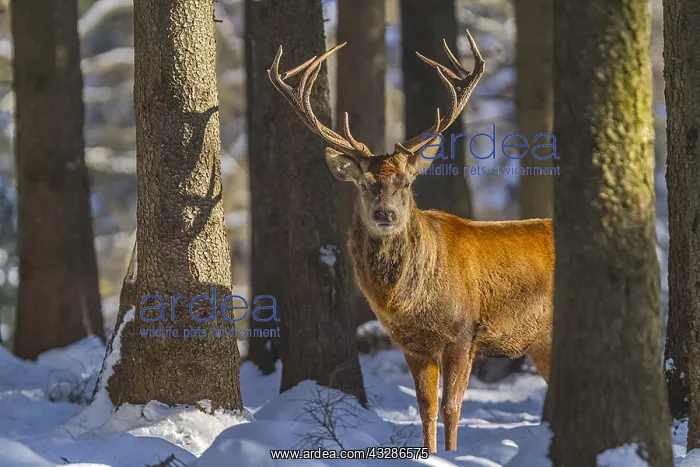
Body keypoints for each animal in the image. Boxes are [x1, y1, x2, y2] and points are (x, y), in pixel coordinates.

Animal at [268, 31, 554, 453]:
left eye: (405, 183)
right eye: (364, 184)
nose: (384, 214)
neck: (409, 302)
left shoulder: (464, 331)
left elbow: (452, 406)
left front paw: (452, 454)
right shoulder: (411, 343)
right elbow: (426, 406)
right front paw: (429, 454)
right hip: (540, 341)